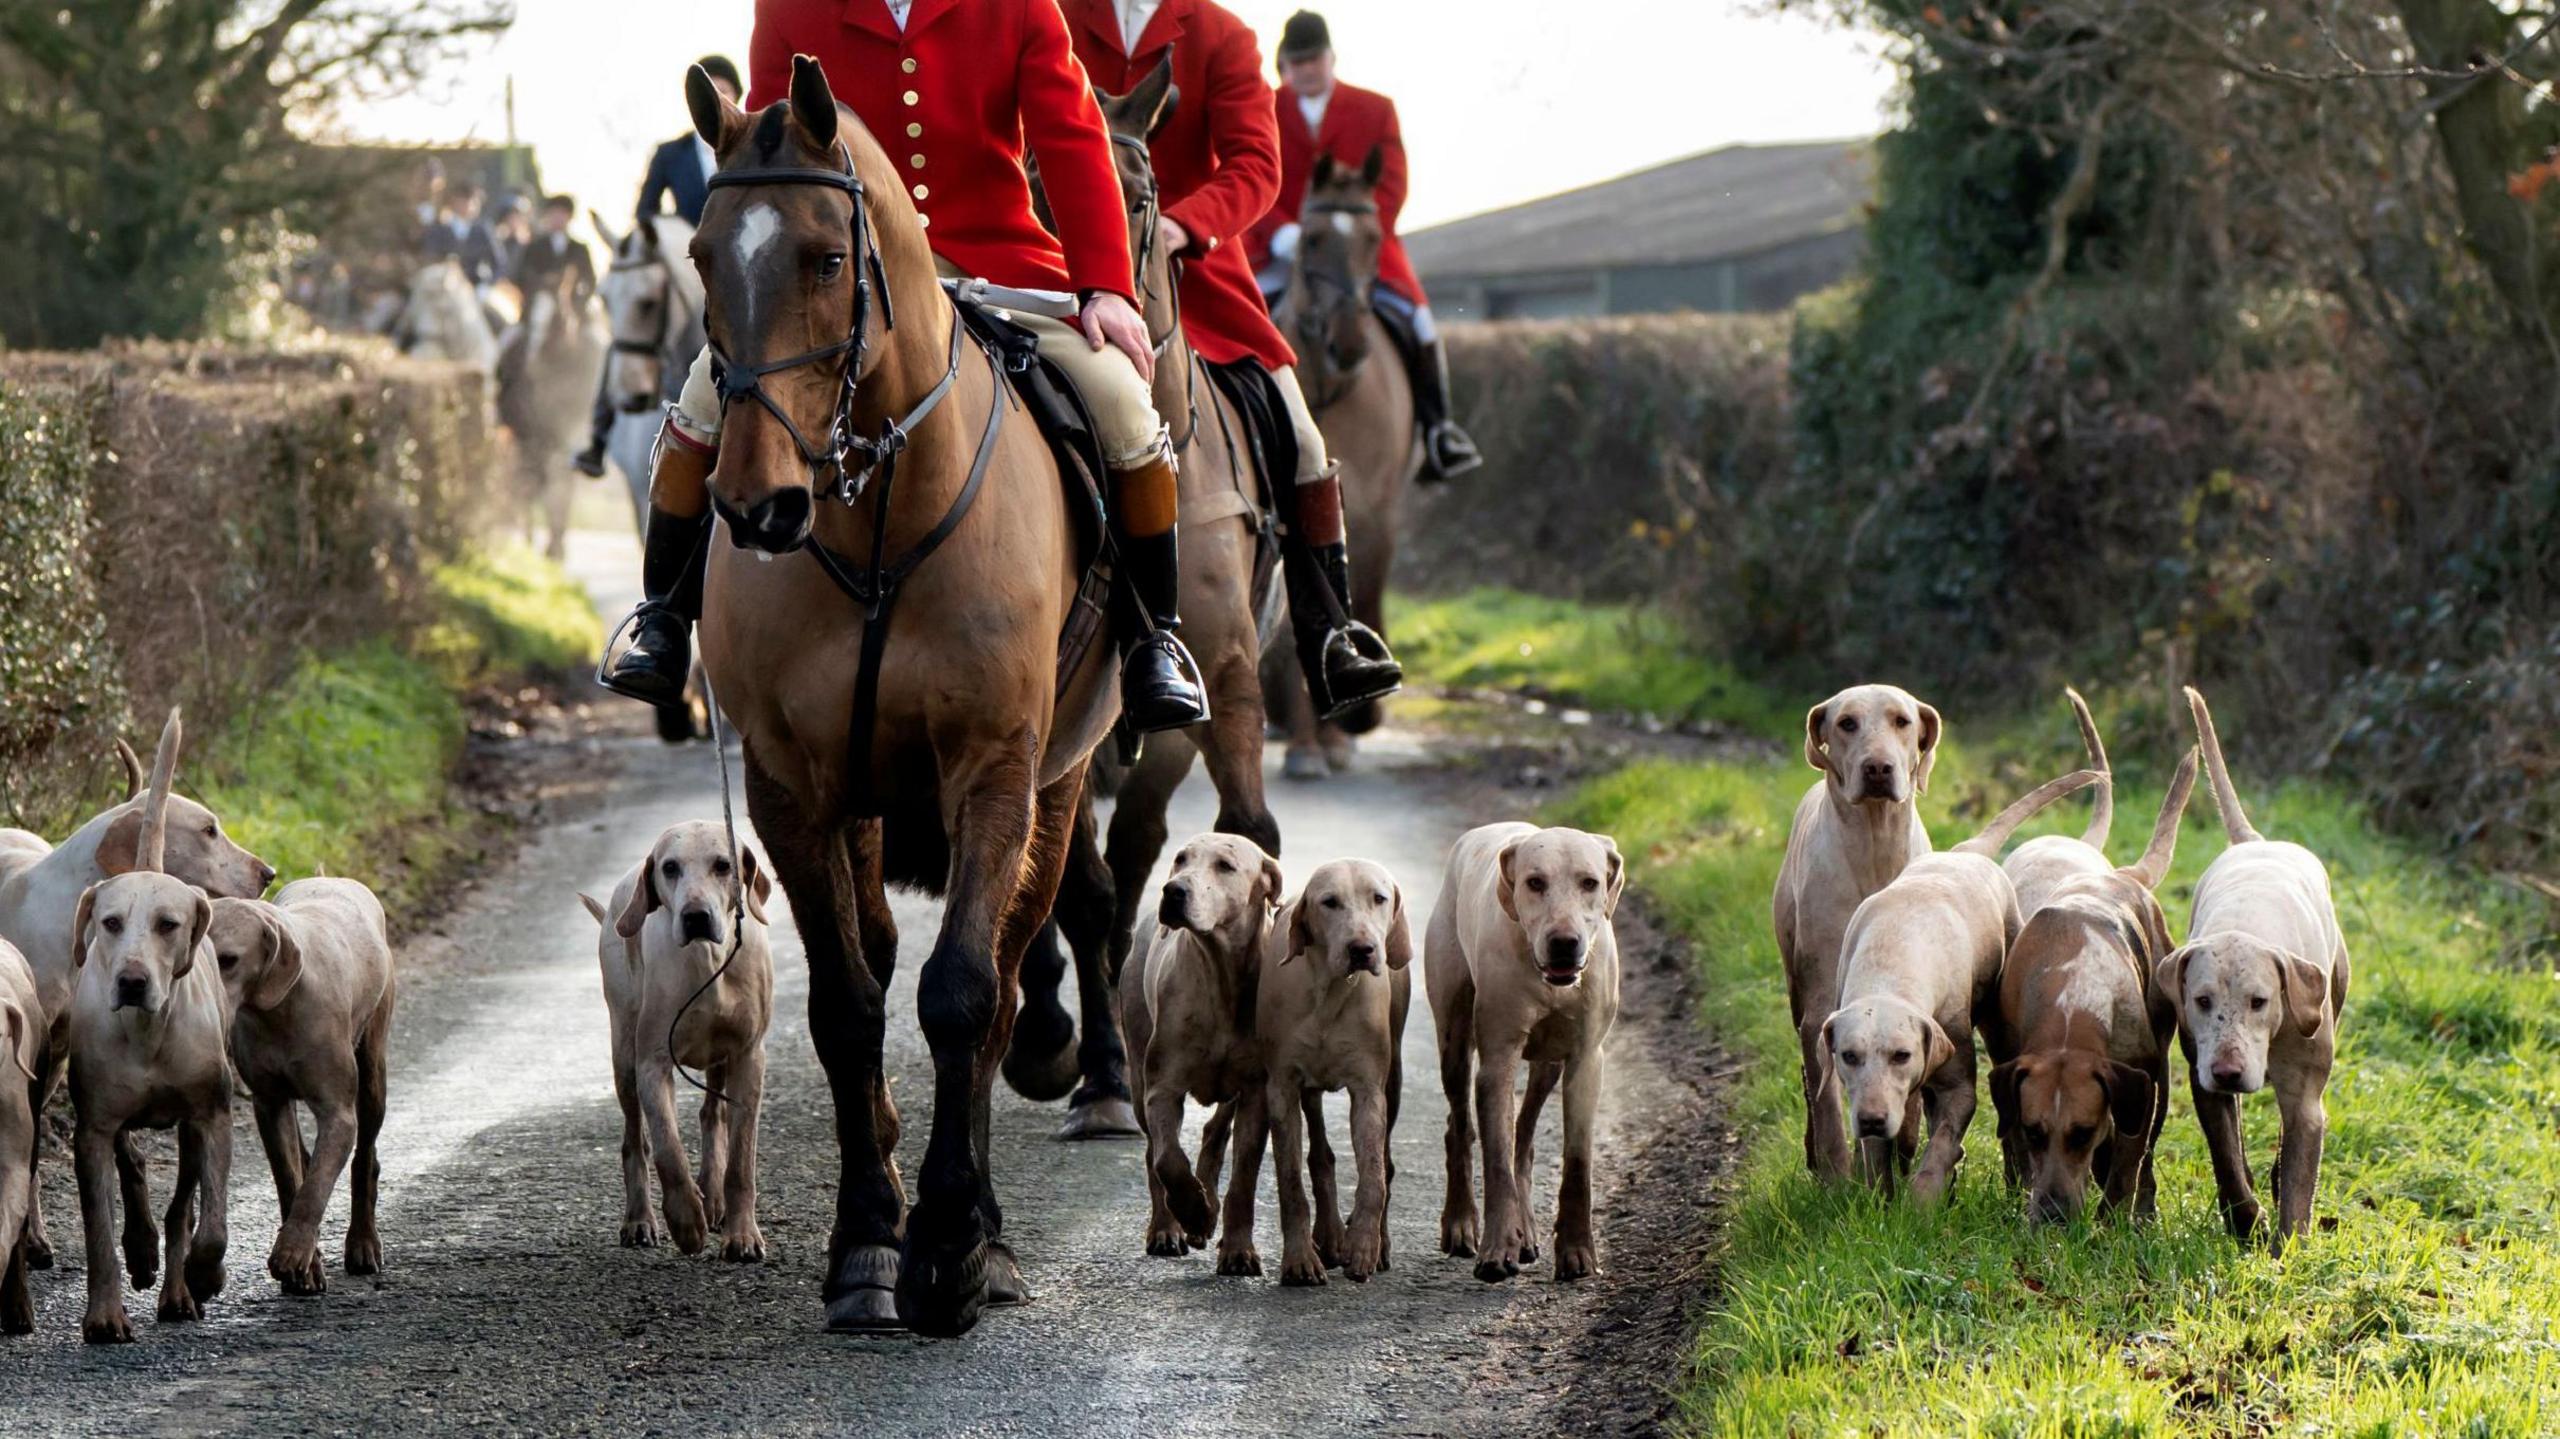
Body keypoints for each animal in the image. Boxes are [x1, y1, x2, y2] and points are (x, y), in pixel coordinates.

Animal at [686, 56, 1116, 1331]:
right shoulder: (791, 788)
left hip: (1057, 790)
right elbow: (847, 1002)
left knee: (1010, 981)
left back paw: (989, 1229)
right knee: (876, 957)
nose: (755, 504)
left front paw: (946, 1246)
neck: (876, 511)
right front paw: (866, 1239)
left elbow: (962, 994)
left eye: (827, 257)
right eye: (701, 255)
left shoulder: (996, 771)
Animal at [998, 64, 1280, 1141]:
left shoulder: (1225, 679)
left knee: (1138, 844)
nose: (1094, 298)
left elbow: (1244, 831)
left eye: (1152, 193)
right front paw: (1089, 1066)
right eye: (1033, 184)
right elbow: (1075, 885)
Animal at [1264, 152, 1423, 778]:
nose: (1349, 345)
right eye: (1309, 239)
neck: (1328, 390)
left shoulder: (1376, 512)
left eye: (1374, 240)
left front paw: (1342, 729)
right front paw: (1310, 744)